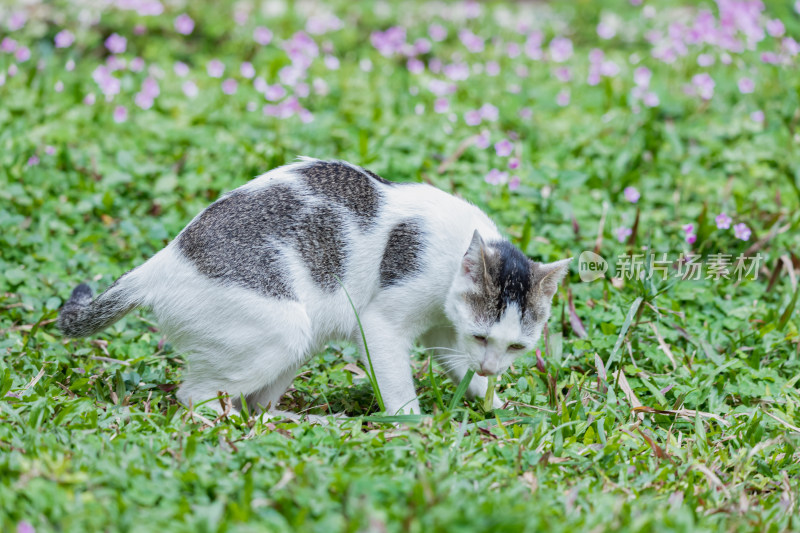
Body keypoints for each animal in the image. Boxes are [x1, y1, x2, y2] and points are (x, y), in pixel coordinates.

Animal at [57, 158, 568, 416]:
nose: (491, 366)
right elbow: (400, 391)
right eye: (483, 336)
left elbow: (463, 372)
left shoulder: (446, 331)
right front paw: (413, 428)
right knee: (192, 398)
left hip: (301, 341)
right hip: (285, 330)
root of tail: (158, 263)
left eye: (517, 348)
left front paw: (495, 401)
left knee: (251, 399)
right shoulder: (382, 324)